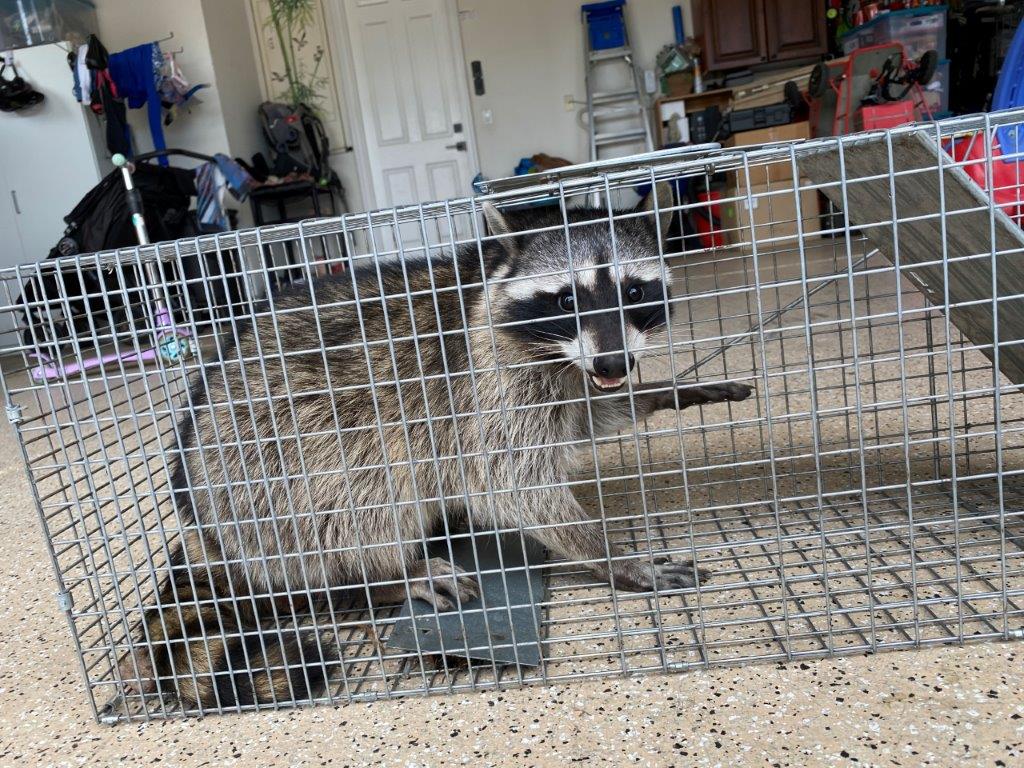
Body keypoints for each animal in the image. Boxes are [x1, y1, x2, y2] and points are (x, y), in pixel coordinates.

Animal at [117, 183, 752, 708]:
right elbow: (511, 482)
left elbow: (586, 418)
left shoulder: (570, 376)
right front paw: (614, 557)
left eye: (634, 290)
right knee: (367, 487)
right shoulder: (484, 380)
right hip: (267, 470)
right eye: (567, 300)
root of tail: (202, 527)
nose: (615, 364)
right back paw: (385, 572)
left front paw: (663, 392)